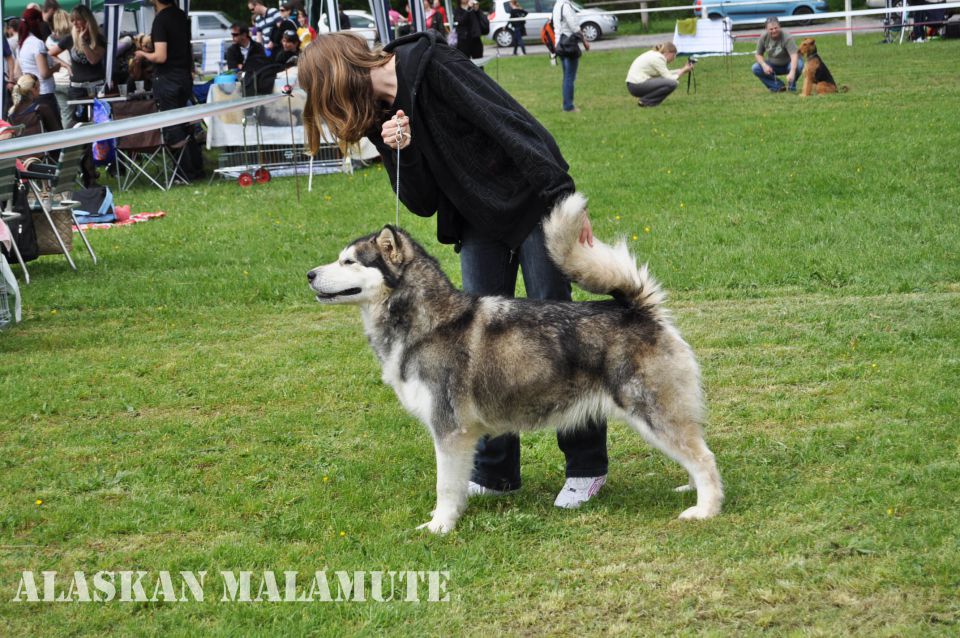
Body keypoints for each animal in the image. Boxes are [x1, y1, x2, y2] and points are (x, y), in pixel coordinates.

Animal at [306, 195, 720, 536]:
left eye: (348, 261)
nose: (309, 274)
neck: (427, 321)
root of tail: (640, 310)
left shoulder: (448, 429)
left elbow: (444, 485)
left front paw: (440, 526)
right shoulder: (464, 435)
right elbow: (457, 483)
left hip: (652, 412)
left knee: (705, 457)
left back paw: (705, 509)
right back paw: (690, 489)